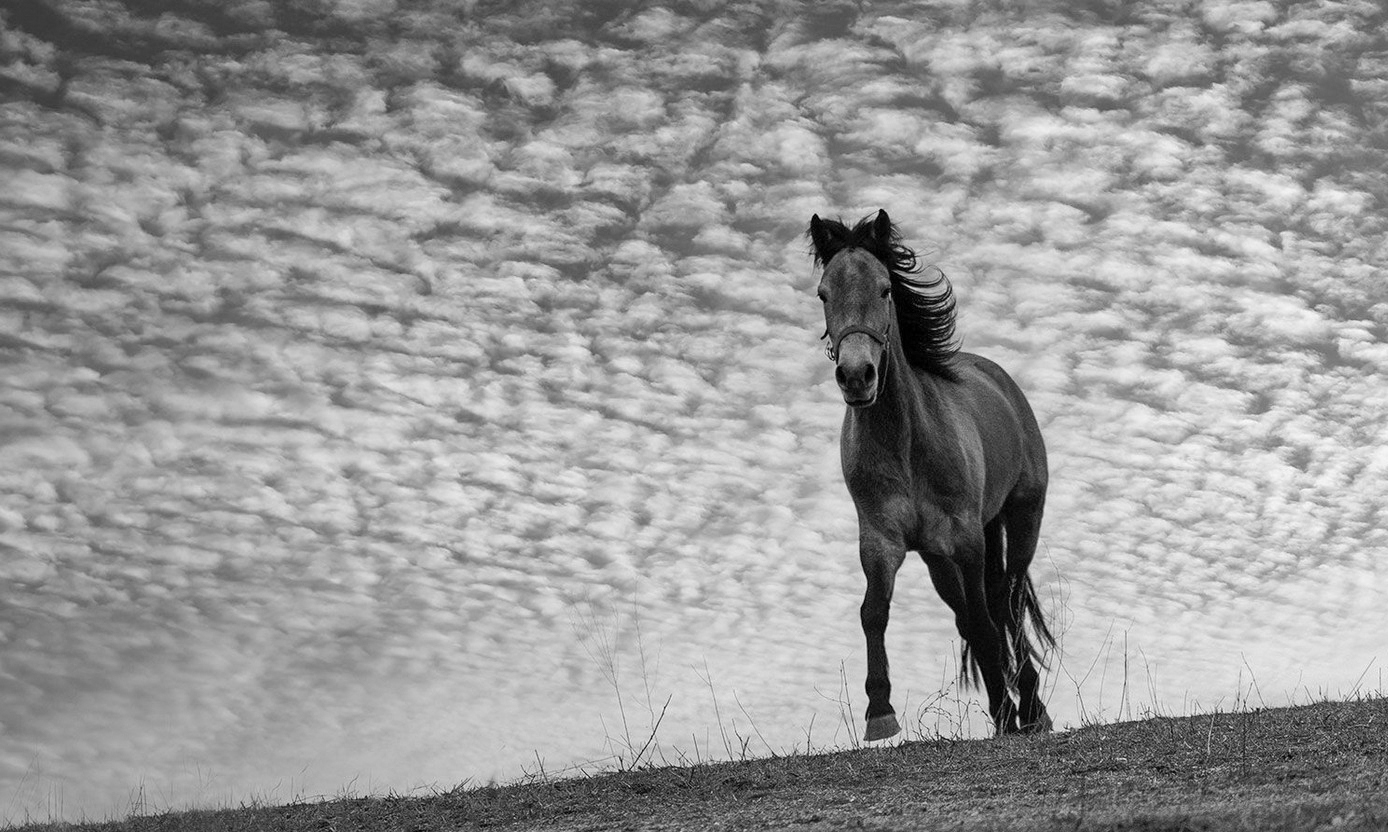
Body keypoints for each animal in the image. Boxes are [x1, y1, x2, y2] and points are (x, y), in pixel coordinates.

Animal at [808, 209, 1055, 740]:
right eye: (823, 294)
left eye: (884, 289)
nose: (856, 376)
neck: (906, 445)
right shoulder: (881, 541)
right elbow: (874, 613)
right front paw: (880, 710)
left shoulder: (966, 538)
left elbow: (986, 621)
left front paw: (1005, 714)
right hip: (940, 558)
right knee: (977, 612)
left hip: (1021, 518)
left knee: (1005, 605)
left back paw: (1029, 708)